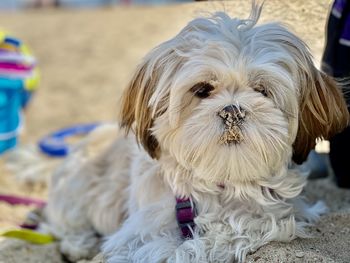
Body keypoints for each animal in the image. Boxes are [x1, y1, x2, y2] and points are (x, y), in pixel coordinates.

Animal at [43, 3, 350, 262]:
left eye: (262, 90)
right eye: (202, 90)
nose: (232, 111)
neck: (223, 184)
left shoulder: (280, 215)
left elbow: (232, 232)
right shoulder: (136, 233)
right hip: (76, 188)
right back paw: (78, 243)